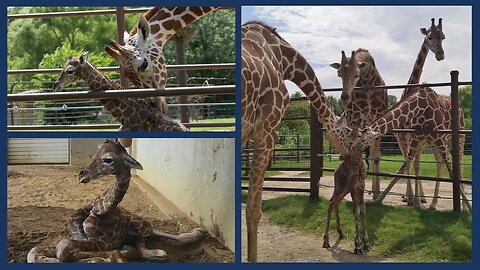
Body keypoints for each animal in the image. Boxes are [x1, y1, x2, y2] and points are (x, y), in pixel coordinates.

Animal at [27, 139, 208, 262]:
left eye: (108, 159)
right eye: (95, 155)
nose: (81, 175)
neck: (102, 210)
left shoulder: (102, 242)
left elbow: (64, 248)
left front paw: (115, 255)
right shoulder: (81, 237)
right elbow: (38, 251)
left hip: (140, 224)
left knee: (153, 236)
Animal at [332, 49, 388, 200]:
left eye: (357, 74)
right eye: (339, 74)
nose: (345, 99)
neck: (368, 80)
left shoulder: (378, 115)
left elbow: (375, 156)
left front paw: (376, 193)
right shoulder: (354, 117)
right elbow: (352, 151)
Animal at [396, 17, 448, 205]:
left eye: (443, 37)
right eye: (430, 37)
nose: (440, 55)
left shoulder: (416, 137)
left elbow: (416, 165)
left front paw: (418, 199)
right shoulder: (408, 136)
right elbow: (410, 164)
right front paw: (412, 199)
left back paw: (421, 198)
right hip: (403, 139)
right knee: (409, 161)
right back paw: (409, 196)